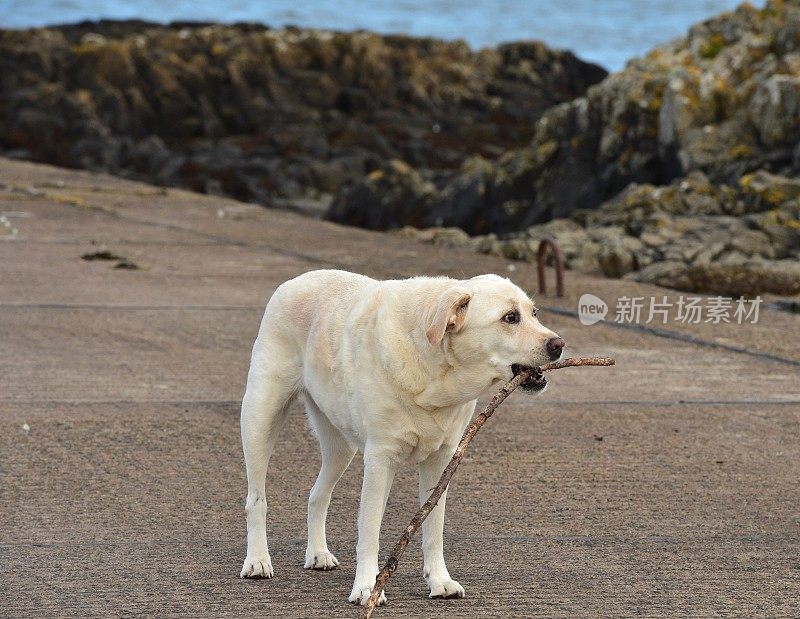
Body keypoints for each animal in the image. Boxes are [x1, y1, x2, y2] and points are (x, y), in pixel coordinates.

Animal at [238, 270, 564, 604]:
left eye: (534, 313)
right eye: (510, 317)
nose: (559, 344)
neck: (433, 368)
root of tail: (297, 279)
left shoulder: (441, 462)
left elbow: (433, 529)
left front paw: (439, 581)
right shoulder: (380, 459)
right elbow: (369, 533)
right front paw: (366, 589)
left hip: (340, 447)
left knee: (317, 495)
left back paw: (317, 554)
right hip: (260, 420)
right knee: (256, 499)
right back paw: (258, 561)